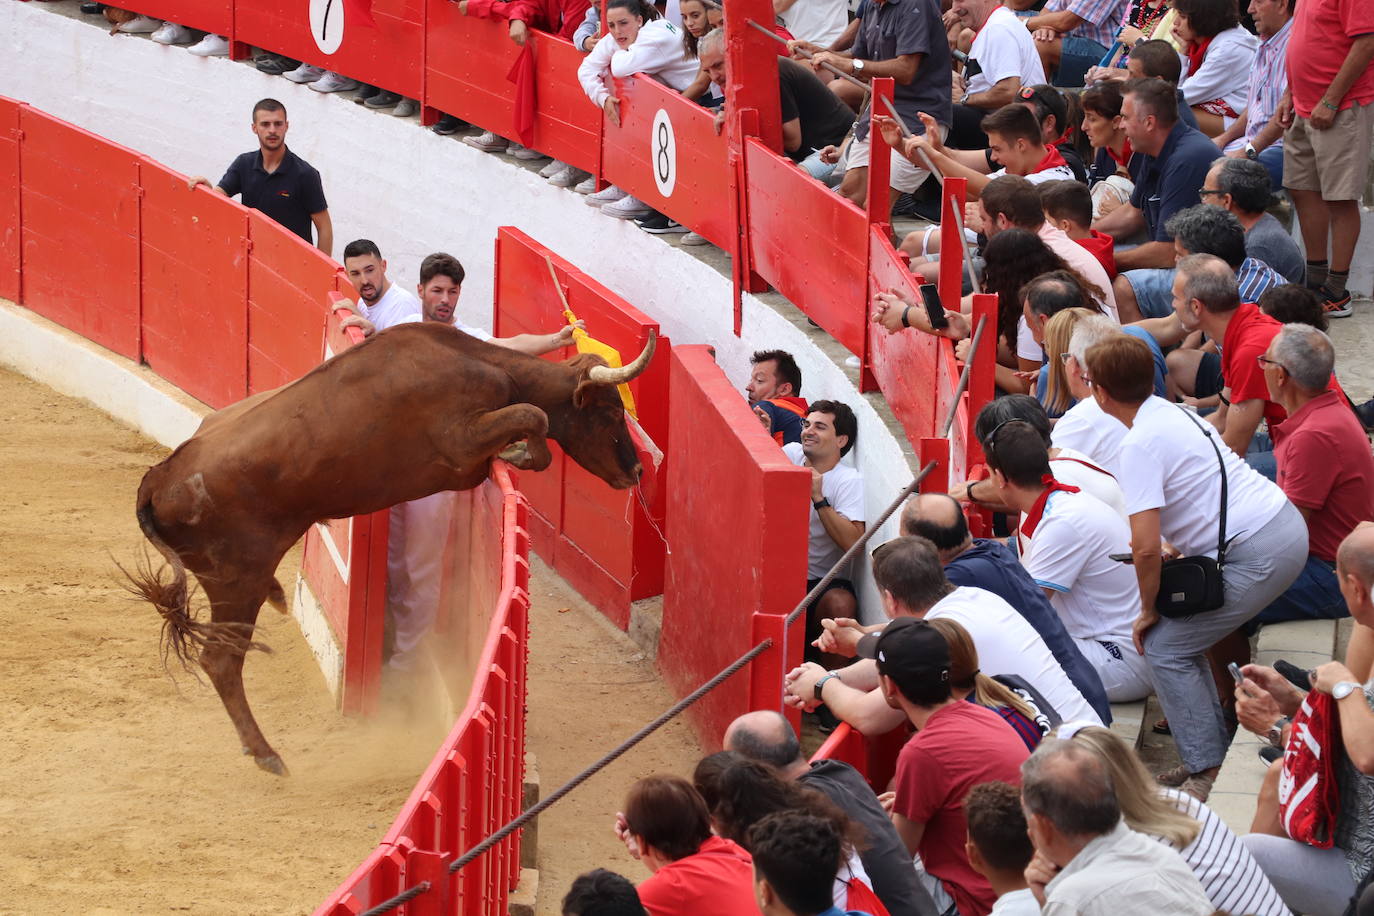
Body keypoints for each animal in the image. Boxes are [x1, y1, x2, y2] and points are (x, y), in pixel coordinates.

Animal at [129, 322, 654, 774]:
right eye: (610, 412)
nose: (635, 471)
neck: (478, 362)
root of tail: (158, 479)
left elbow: (534, 417)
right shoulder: (461, 443)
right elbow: (535, 415)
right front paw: (522, 452)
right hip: (237, 581)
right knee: (221, 662)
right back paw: (267, 754)